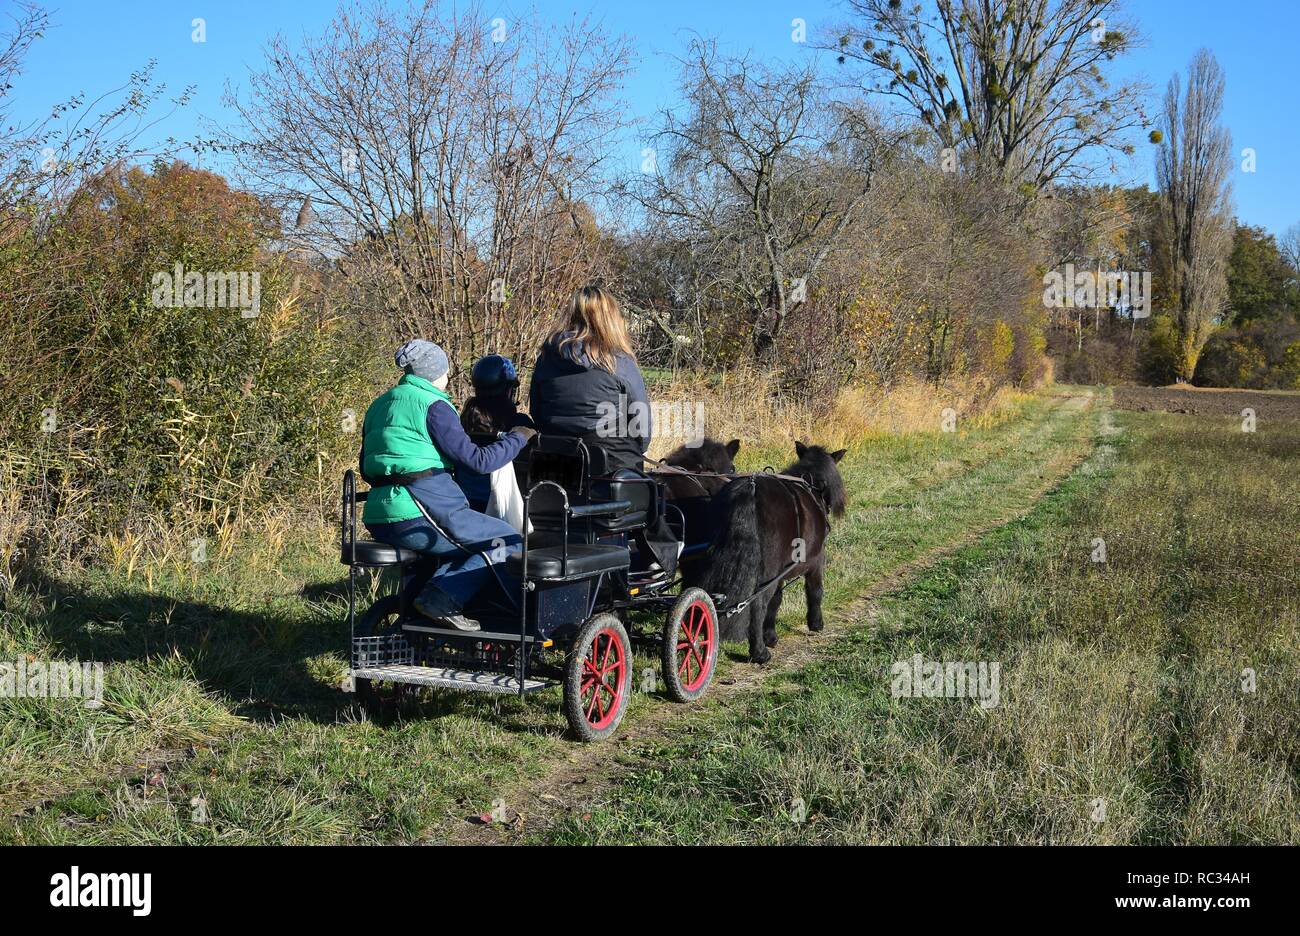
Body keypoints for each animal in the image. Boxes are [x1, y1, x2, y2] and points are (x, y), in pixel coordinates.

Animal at [686, 441, 847, 663]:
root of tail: (750, 490)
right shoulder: (815, 562)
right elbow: (814, 591)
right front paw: (816, 624)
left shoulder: (778, 575)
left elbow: (776, 601)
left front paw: (770, 635)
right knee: (758, 605)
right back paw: (759, 653)